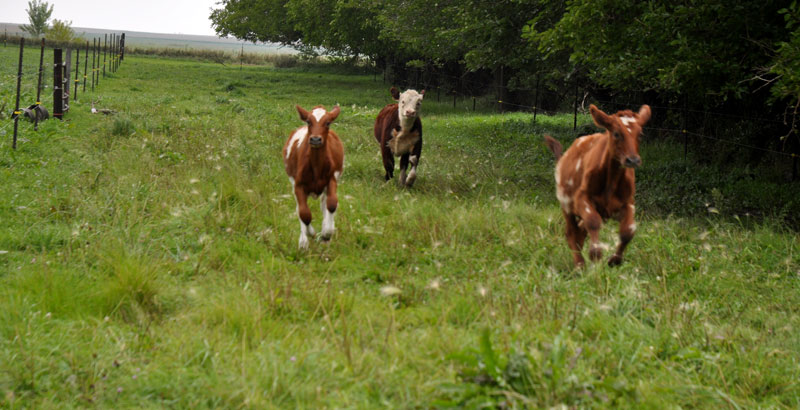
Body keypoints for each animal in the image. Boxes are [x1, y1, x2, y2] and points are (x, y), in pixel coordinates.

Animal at [283, 105, 344, 249]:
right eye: (308, 121)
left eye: (328, 123)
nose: (315, 139)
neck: (316, 166)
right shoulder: (298, 185)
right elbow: (304, 213)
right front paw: (309, 234)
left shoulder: (332, 179)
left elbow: (332, 204)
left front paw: (327, 233)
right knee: (299, 209)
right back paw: (303, 241)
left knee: (324, 204)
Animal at [544, 104, 651, 268]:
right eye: (616, 133)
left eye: (640, 134)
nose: (632, 160)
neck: (611, 180)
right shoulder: (581, 198)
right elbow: (593, 222)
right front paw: (595, 254)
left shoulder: (628, 203)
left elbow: (628, 231)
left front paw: (614, 260)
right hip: (566, 205)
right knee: (571, 232)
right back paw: (579, 264)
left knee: (580, 231)